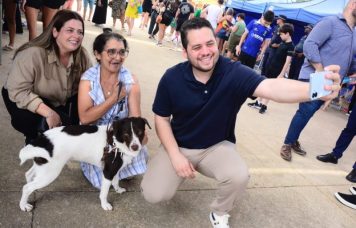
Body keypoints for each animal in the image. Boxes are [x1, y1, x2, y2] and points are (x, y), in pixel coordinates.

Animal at [18, 117, 149, 212]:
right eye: (126, 134)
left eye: (140, 132)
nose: (135, 147)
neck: (116, 141)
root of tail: (43, 139)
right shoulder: (108, 172)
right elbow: (104, 192)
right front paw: (104, 204)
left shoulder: (114, 168)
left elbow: (116, 181)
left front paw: (118, 189)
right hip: (50, 173)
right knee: (26, 187)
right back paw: (23, 205)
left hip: (43, 165)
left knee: (28, 175)